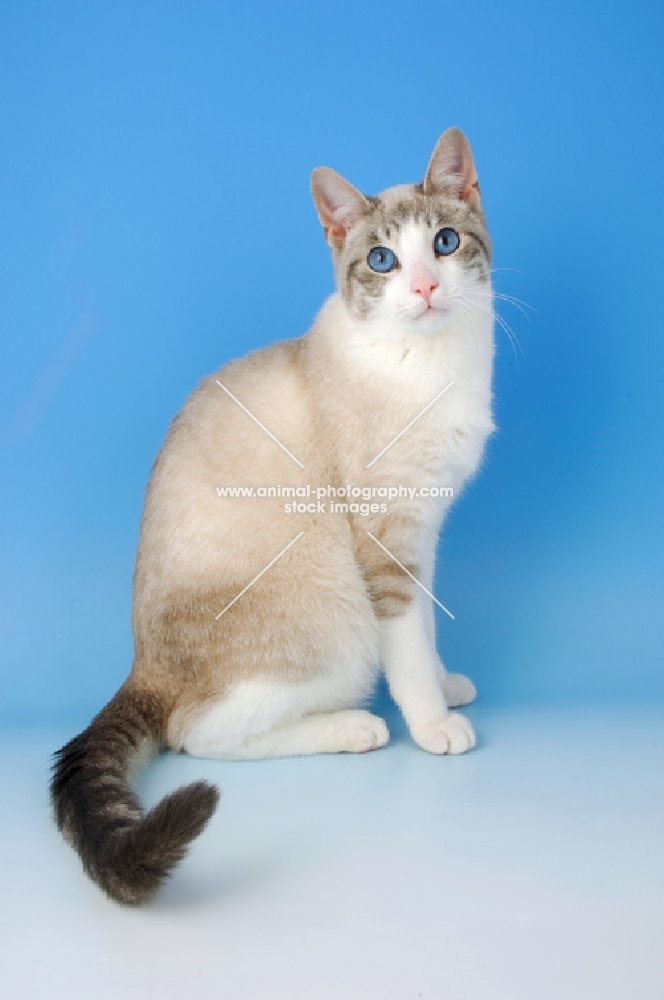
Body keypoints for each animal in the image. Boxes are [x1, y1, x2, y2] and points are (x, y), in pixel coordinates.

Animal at [50, 127, 492, 908]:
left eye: (443, 243)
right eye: (382, 260)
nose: (425, 288)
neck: (433, 367)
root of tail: (141, 663)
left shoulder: (424, 531)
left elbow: (428, 632)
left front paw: (446, 690)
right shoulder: (385, 539)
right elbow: (407, 646)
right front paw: (433, 724)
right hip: (338, 615)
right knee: (195, 732)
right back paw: (352, 727)